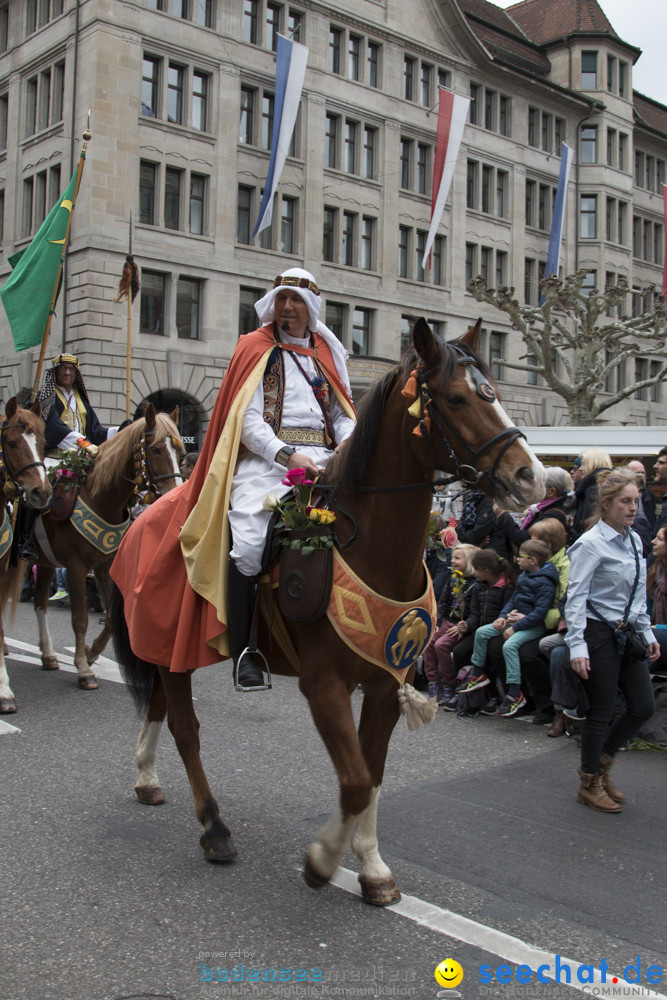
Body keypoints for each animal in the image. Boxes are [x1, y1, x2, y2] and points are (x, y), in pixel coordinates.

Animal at [30, 404, 184, 688]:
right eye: (156, 449)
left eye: (179, 451)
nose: (173, 494)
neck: (99, 497)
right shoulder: (77, 567)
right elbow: (79, 619)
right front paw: (83, 668)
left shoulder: (105, 566)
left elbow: (113, 618)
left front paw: (91, 653)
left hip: (45, 562)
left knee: (39, 603)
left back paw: (48, 655)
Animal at [111, 320, 548, 908]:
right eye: (457, 398)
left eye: (494, 392)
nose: (533, 478)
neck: (365, 546)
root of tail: (143, 514)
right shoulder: (323, 684)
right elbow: (356, 780)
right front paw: (322, 859)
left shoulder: (385, 683)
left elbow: (372, 774)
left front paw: (371, 867)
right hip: (170, 644)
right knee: (186, 728)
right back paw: (214, 829)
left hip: (168, 648)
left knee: (159, 706)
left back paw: (147, 779)